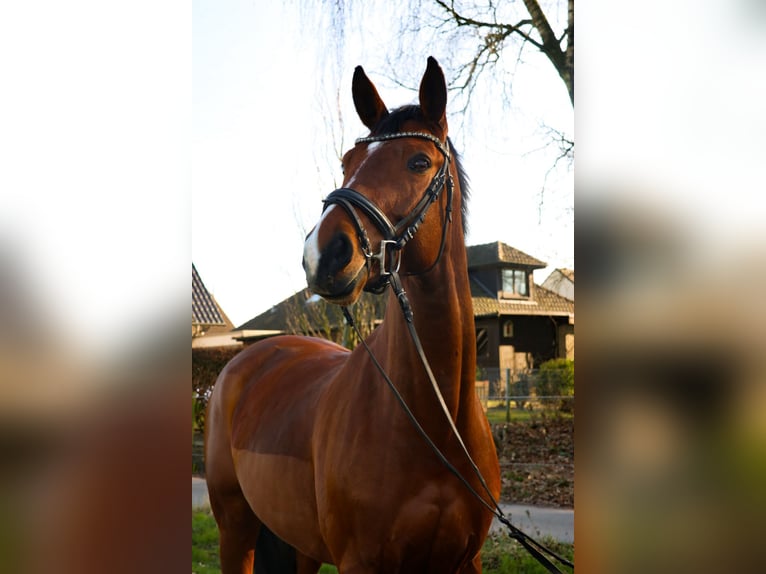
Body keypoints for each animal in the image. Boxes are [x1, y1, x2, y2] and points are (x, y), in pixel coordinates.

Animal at [205, 56, 501, 573]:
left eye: (418, 162)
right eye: (347, 162)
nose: (322, 254)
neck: (437, 424)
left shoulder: (467, 561)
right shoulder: (360, 561)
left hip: (299, 544)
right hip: (235, 530)